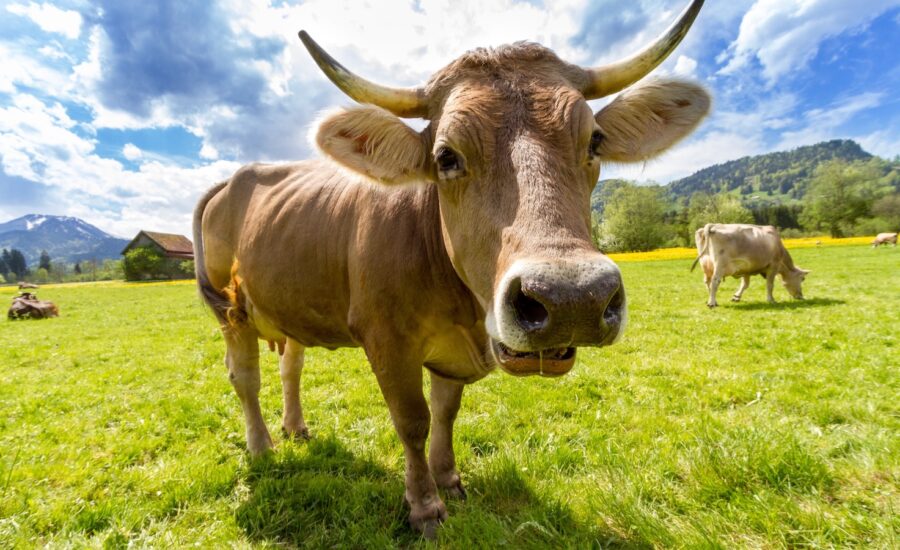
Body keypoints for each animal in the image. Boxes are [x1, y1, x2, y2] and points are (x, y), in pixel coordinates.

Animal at [195, 0, 712, 536]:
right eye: (446, 156)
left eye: (594, 142)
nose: (572, 298)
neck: (462, 309)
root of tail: (235, 178)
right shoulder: (386, 339)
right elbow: (413, 420)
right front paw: (424, 505)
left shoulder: (451, 353)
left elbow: (446, 412)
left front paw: (449, 479)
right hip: (230, 312)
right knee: (245, 378)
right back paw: (261, 447)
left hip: (287, 303)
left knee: (290, 365)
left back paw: (295, 428)